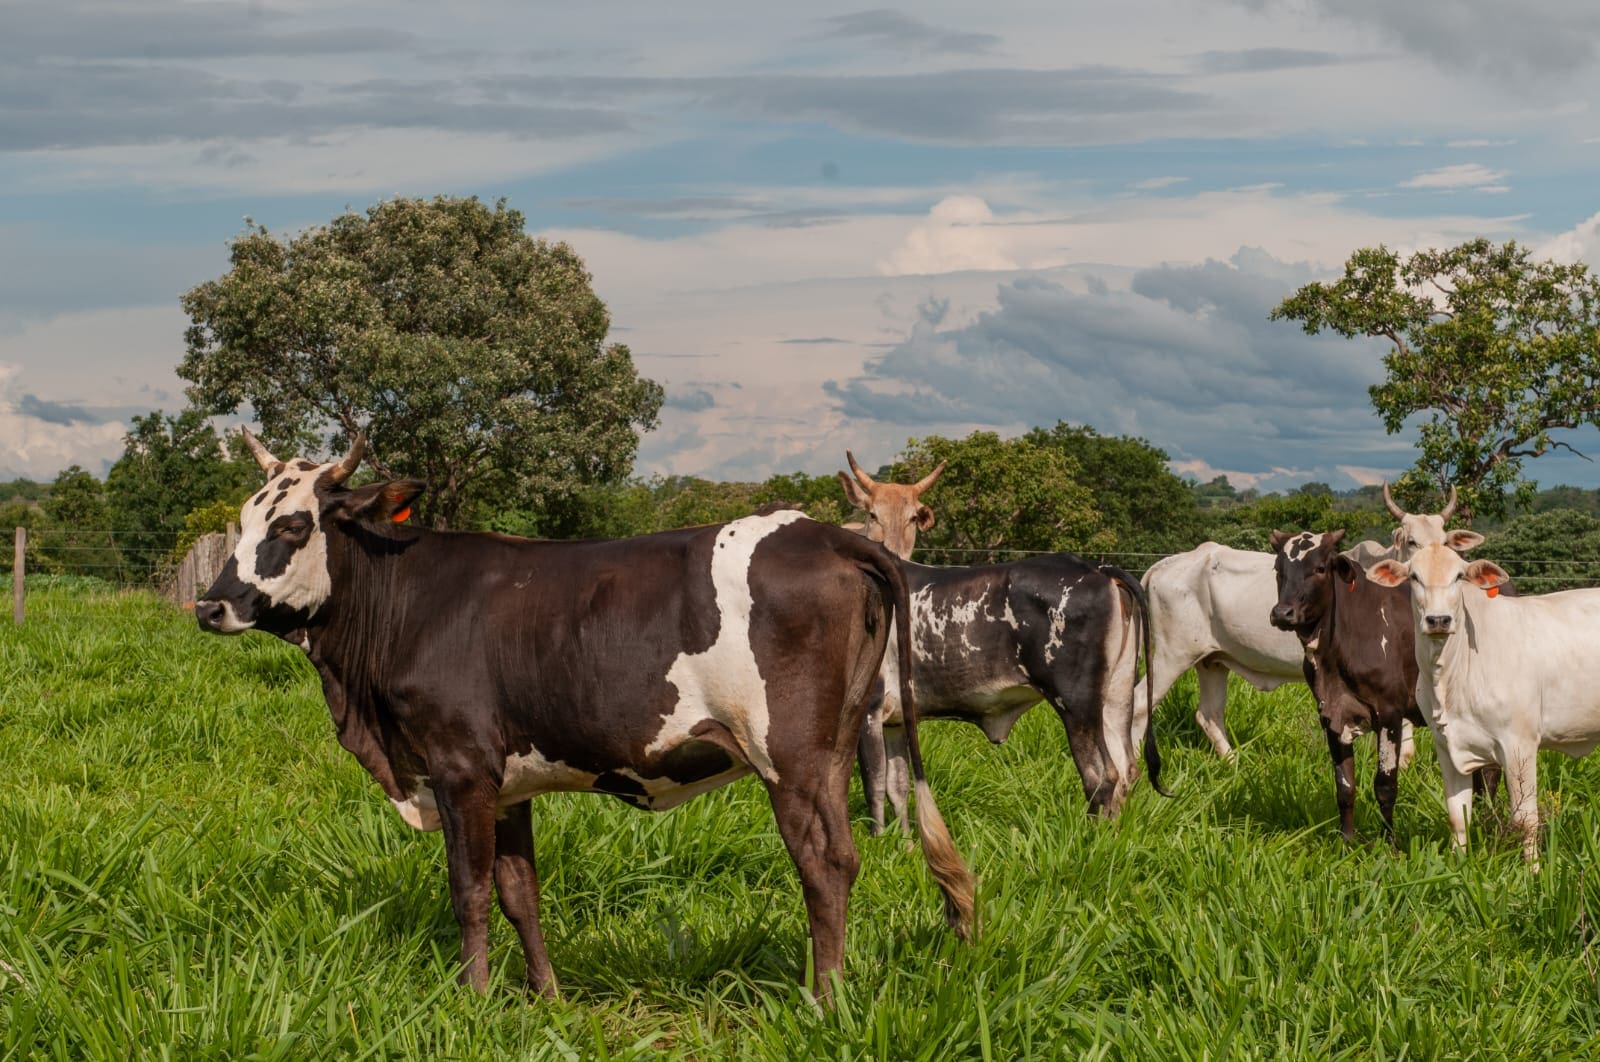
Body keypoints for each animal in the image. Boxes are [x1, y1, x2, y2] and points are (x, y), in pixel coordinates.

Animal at [200, 428, 972, 998]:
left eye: (293, 524)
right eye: (241, 521)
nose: (210, 605)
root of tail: (831, 534)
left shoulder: (459, 769)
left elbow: (469, 890)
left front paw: (473, 999)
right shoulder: (507, 783)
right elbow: (520, 892)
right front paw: (545, 998)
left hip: (791, 757)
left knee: (826, 864)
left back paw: (825, 998)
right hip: (837, 747)